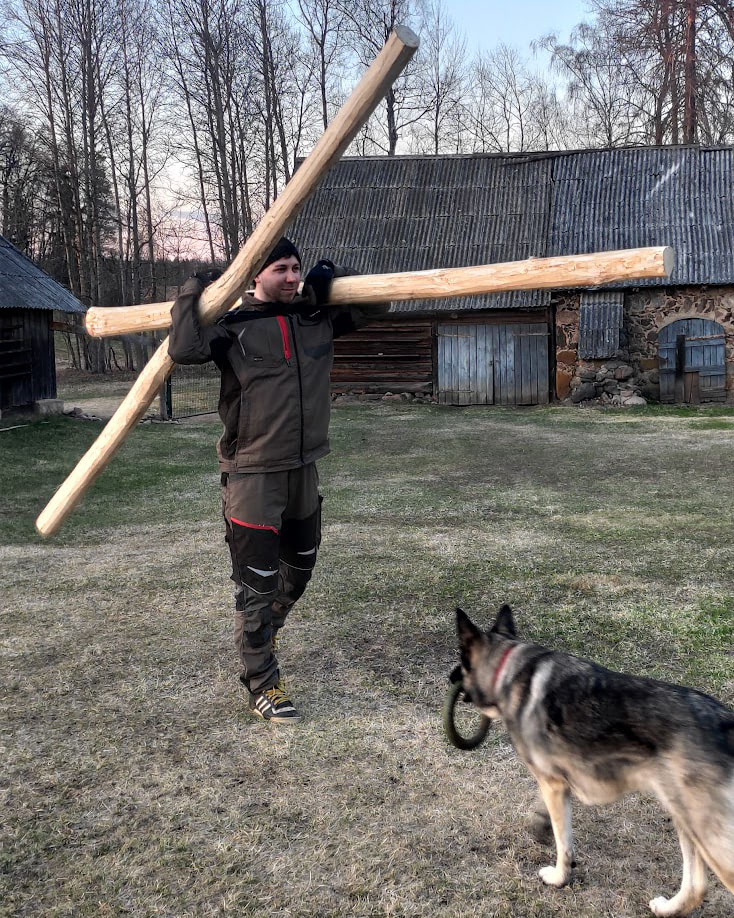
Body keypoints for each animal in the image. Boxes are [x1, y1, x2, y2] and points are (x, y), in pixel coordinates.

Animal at [458, 608, 732, 916]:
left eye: (460, 659)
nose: (451, 678)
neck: (509, 666)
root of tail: (725, 721)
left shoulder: (551, 783)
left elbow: (563, 842)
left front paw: (559, 877)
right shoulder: (557, 782)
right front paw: (539, 823)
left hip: (706, 832)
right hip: (683, 816)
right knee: (696, 886)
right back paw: (667, 908)